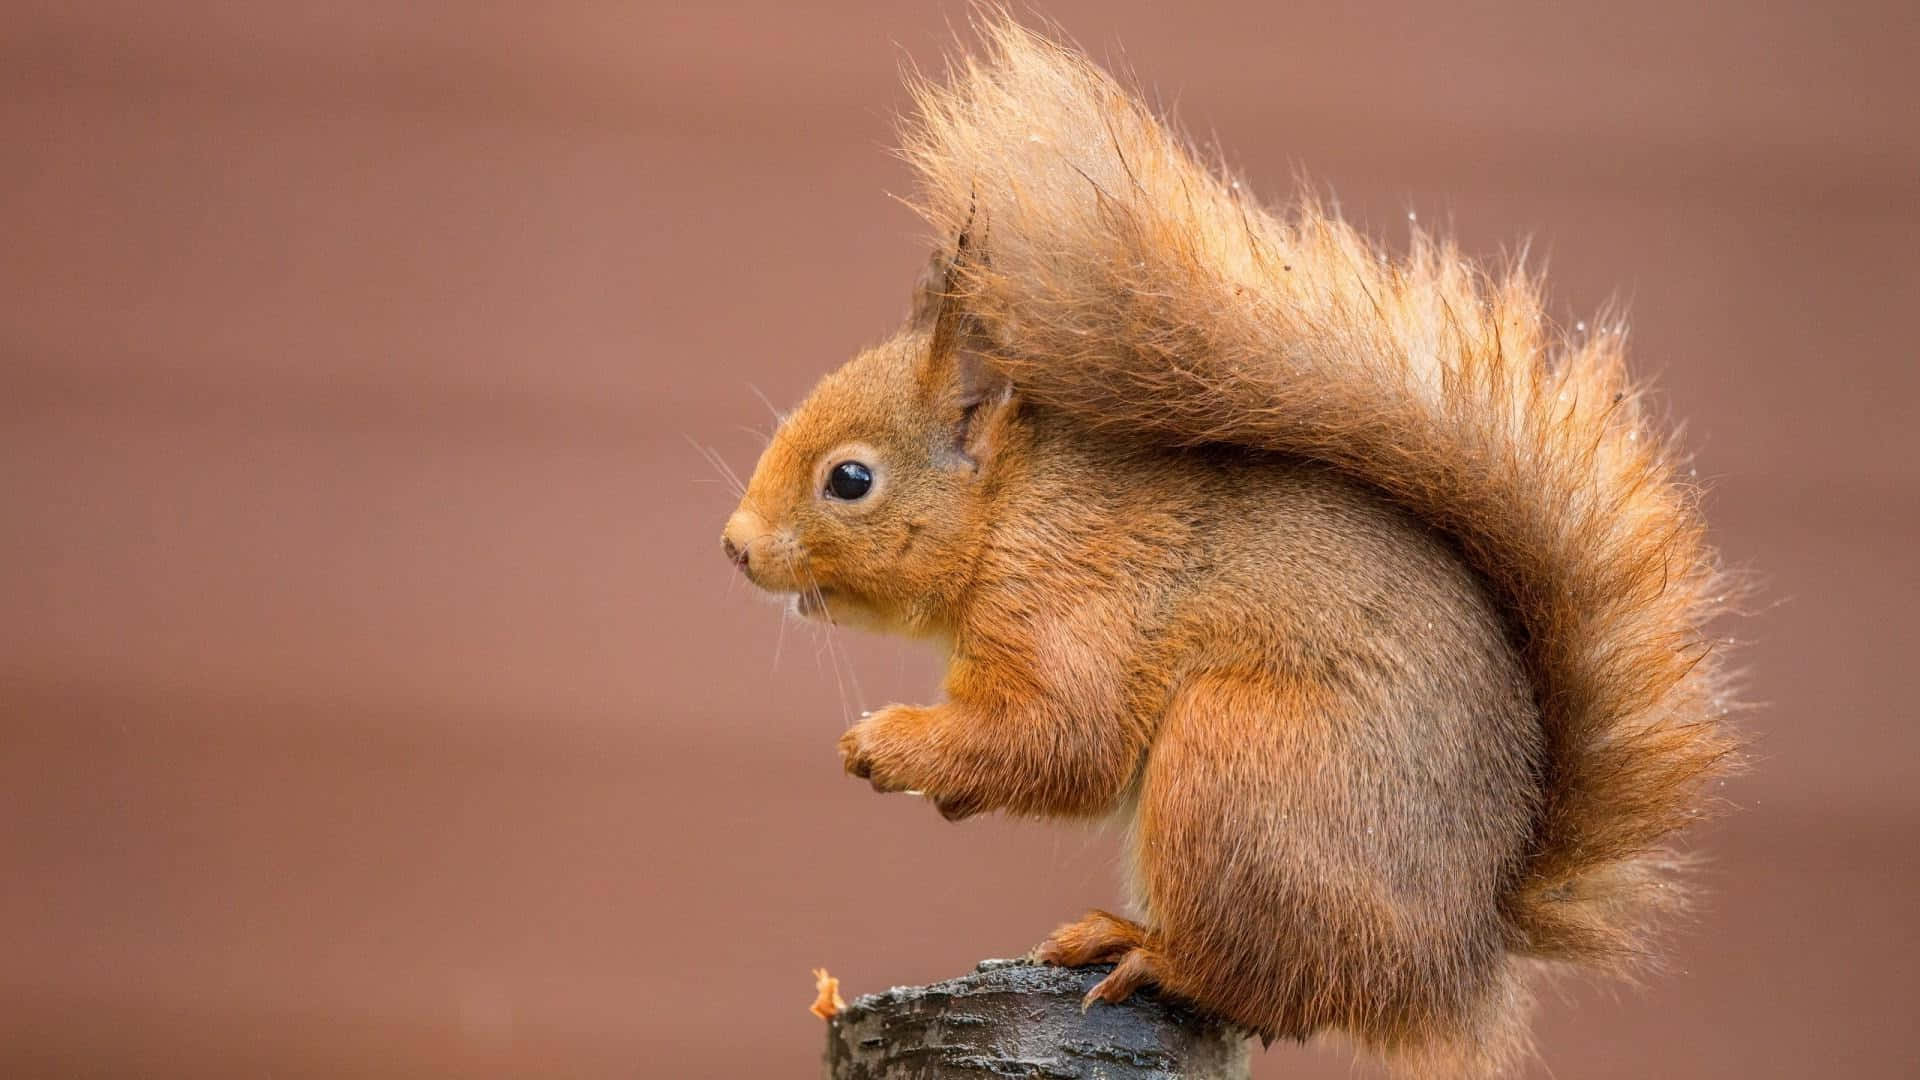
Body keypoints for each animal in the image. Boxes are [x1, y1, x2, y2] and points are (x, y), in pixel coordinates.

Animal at [718, 18, 1738, 1077]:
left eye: (850, 480)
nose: (735, 546)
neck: (1011, 512)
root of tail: (1456, 961)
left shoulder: (1070, 598)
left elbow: (1061, 738)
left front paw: (888, 743)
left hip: (1237, 767)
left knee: (1258, 980)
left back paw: (1142, 950)